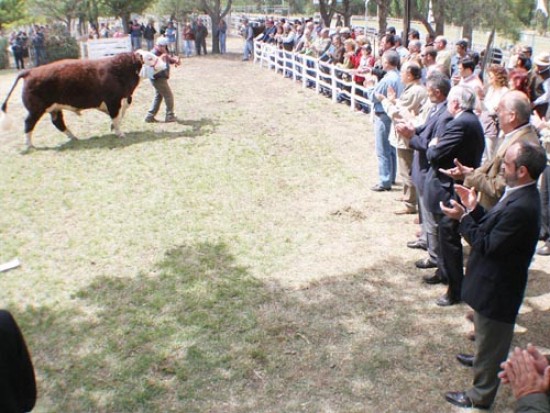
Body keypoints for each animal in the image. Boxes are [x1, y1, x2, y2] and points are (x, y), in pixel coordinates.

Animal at [1, 51, 167, 148]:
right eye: (150, 57)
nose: (165, 63)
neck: (120, 70)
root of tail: (30, 71)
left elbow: (118, 117)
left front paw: (114, 128)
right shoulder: (113, 101)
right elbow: (116, 117)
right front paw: (119, 133)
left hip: (55, 108)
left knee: (58, 122)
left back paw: (73, 137)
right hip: (36, 109)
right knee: (28, 123)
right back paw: (29, 145)